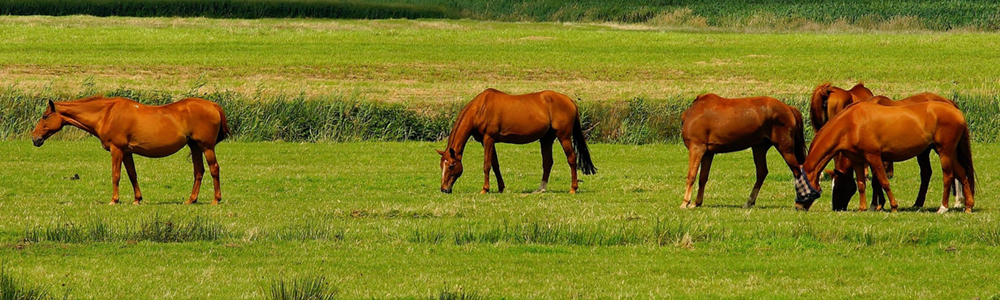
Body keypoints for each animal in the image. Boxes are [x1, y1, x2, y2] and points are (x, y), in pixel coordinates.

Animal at [32, 95, 231, 205]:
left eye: (45, 116)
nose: (35, 138)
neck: (107, 114)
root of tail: (213, 105)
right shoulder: (127, 152)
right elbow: (132, 174)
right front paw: (137, 199)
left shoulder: (117, 150)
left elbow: (116, 175)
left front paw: (114, 199)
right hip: (195, 146)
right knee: (199, 171)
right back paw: (191, 199)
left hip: (207, 147)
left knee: (214, 169)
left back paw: (216, 199)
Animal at [436, 88, 592, 193]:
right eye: (441, 165)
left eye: (451, 166)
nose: (444, 189)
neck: (481, 108)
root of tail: (569, 100)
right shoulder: (488, 141)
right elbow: (495, 165)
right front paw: (500, 188)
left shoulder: (488, 139)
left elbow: (487, 165)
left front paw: (485, 189)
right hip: (547, 138)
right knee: (548, 162)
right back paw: (541, 189)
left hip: (563, 136)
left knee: (572, 158)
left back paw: (573, 188)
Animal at [676, 93, 808, 209]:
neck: (694, 111)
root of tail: (788, 108)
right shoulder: (708, 153)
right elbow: (703, 178)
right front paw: (697, 203)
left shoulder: (697, 148)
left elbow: (691, 176)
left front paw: (685, 203)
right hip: (759, 148)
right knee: (762, 172)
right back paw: (749, 202)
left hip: (785, 148)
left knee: (797, 170)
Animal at [796, 102, 976, 212]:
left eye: (800, 187)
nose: (798, 206)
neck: (850, 123)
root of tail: (957, 111)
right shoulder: (857, 160)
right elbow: (861, 184)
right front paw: (862, 208)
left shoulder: (874, 157)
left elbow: (883, 182)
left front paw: (893, 206)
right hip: (949, 153)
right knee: (962, 173)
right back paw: (968, 206)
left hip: (944, 152)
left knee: (948, 176)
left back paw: (943, 208)